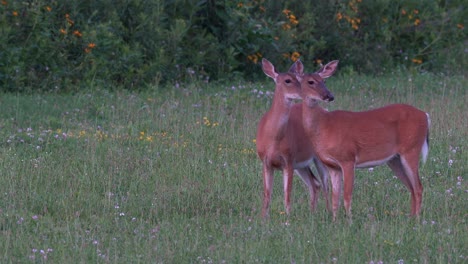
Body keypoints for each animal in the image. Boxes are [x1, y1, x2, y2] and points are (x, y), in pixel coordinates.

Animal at [256, 58, 330, 218]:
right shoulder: (266, 161)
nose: (305, 92)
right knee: (314, 184)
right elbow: (267, 194)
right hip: (301, 164)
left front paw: (288, 217)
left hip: (317, 157)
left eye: (299, 79)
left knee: (325, 184)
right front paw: (263, 218)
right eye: (288, 80)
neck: (273, 139)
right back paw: (312, 213)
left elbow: (287, 194)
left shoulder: (288, 160)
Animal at [292, 60, 432, 221]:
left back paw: (417, 219)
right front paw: (335, 221)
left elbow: (347, 196)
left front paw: (349, 221)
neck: (324, 126)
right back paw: (410, 218)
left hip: (411, 148)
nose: (329, 96)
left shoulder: (348, 158)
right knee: (411, 187)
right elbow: (335, 199)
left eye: (324, 80)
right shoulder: (332, 166)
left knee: (418, 187)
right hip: (395, 159)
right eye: (311, 81)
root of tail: (425, 116)